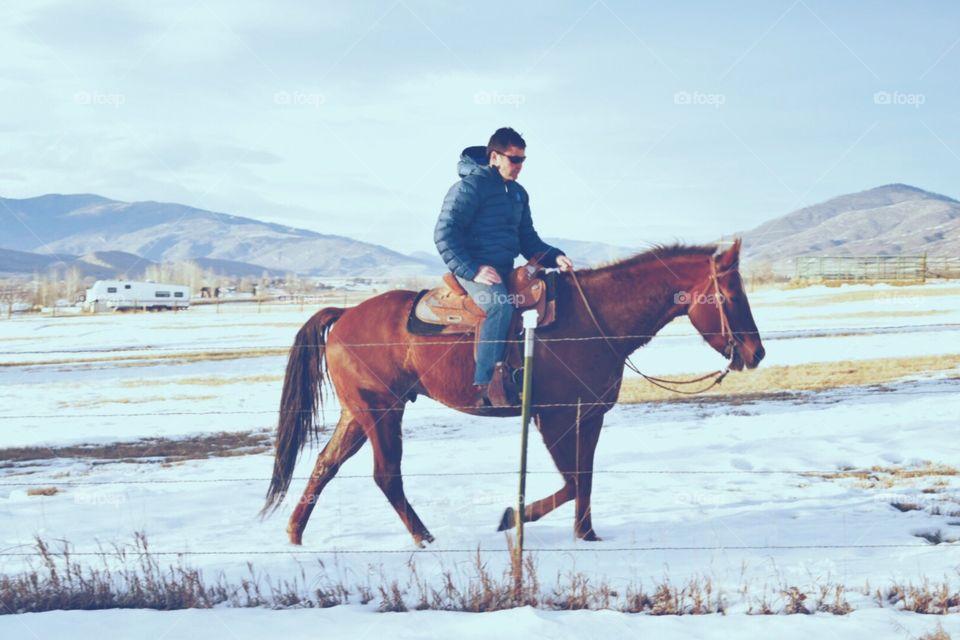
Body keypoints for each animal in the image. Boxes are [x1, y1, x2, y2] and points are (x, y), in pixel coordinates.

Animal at [262, 239, 765, 546]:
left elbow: (584, 477)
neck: (596, 321)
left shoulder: (590, 415)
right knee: (386, 476)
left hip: (359, 414)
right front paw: (512, 518)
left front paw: (587, 535)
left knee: (325, 465)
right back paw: (424, 537)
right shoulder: (554, 416)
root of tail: (344, 314)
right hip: (382, 412)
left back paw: (295, 533)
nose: (756, 353)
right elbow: (571, 481)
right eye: (730, 296)